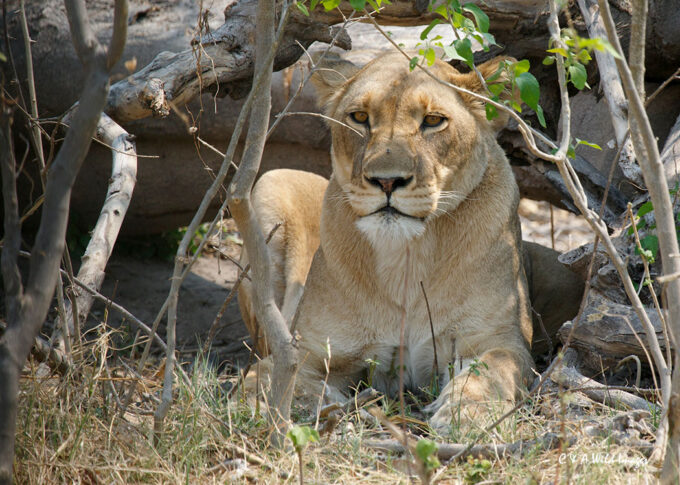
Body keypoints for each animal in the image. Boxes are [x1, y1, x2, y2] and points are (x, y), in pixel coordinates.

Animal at [236, 52, 583, 432]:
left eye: (432, 121)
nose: (387, 181)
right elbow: (262, 381)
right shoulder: (309, 350)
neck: (406, 255)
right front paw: (304, 405)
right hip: (270, 181)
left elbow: (491, 371)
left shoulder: (498, 339)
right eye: (360, 117)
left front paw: (467, 415)